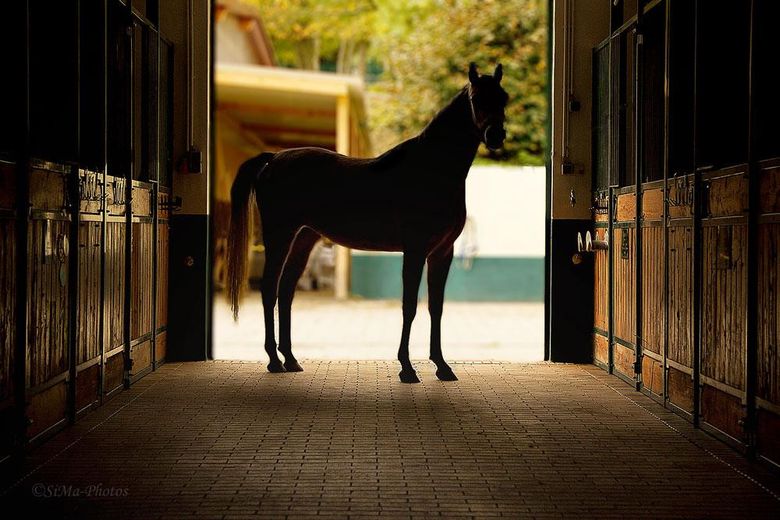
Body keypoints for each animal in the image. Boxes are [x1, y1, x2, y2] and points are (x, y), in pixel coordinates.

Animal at [227, 62, 508, 383]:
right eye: (476, 98)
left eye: (504, 98)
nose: (496, 135)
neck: (431, 170)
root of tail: (273, 158)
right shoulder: (415, 250)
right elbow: (409, 306)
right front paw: (407, 368)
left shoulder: (442, 252)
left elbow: (435, 307)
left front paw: (442, 366)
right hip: (279, 236)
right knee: (269, 290)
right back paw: (273, 361)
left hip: (303, 239)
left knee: (285, 291)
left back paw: (291, 359)